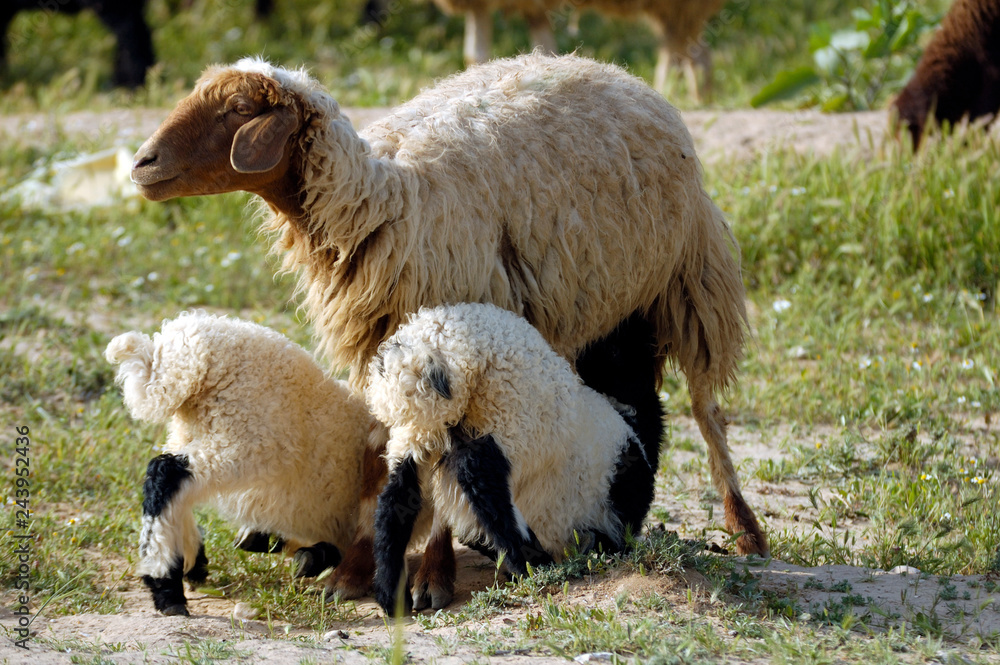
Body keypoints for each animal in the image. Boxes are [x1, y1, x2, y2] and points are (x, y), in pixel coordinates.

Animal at [105, 311, 372, 617]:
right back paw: (167, 588)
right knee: (167, 473)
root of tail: (182, 353)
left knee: (175, 488)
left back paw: (192, 562)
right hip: (243, 442)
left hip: (193, 432)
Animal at [367, 303, 655, 615]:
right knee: (485, 486)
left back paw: (391, 595)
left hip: (418, 429)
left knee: (396, 499)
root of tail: (431, 347)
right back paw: (537, 567)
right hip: (503, 416)